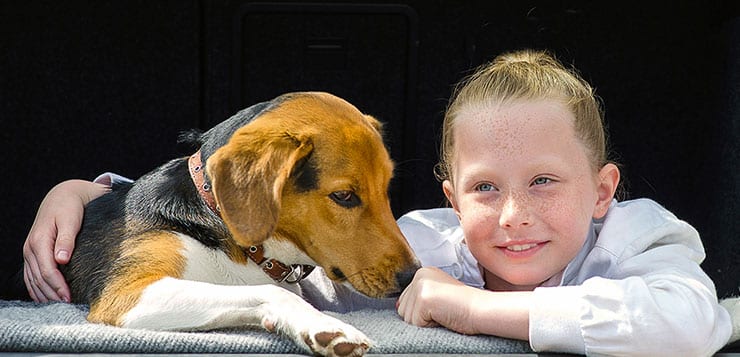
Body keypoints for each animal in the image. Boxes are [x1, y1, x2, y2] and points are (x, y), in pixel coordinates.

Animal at [60, 92, 420, 356]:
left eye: (386, 188)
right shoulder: (128, 294)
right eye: (344, 196)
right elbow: (271, 292)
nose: (411, 276)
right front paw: (323, 326)